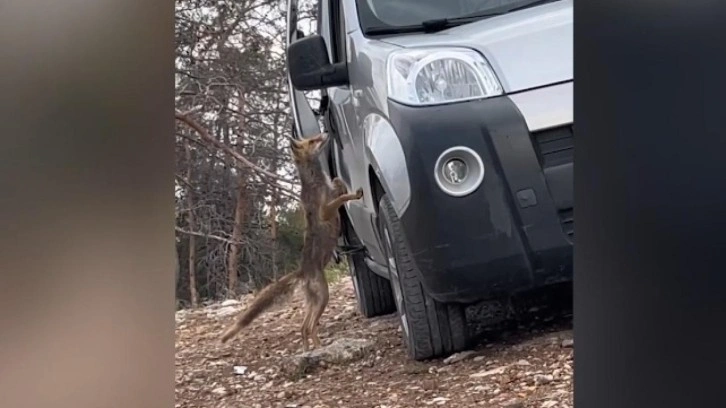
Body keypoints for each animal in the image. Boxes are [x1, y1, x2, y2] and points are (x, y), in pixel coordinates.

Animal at [218, 131, 362, 350]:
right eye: (312, 140)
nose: (326, 132)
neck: (317, 181)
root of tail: (302, 271)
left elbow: (338, 182)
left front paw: (342, 184)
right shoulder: (325, 210)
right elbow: (340, 199)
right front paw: (354, 194)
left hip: (314, 301)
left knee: (303, 328)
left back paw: (309, 350)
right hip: (323, 296)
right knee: (309, 327)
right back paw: (317, 348)